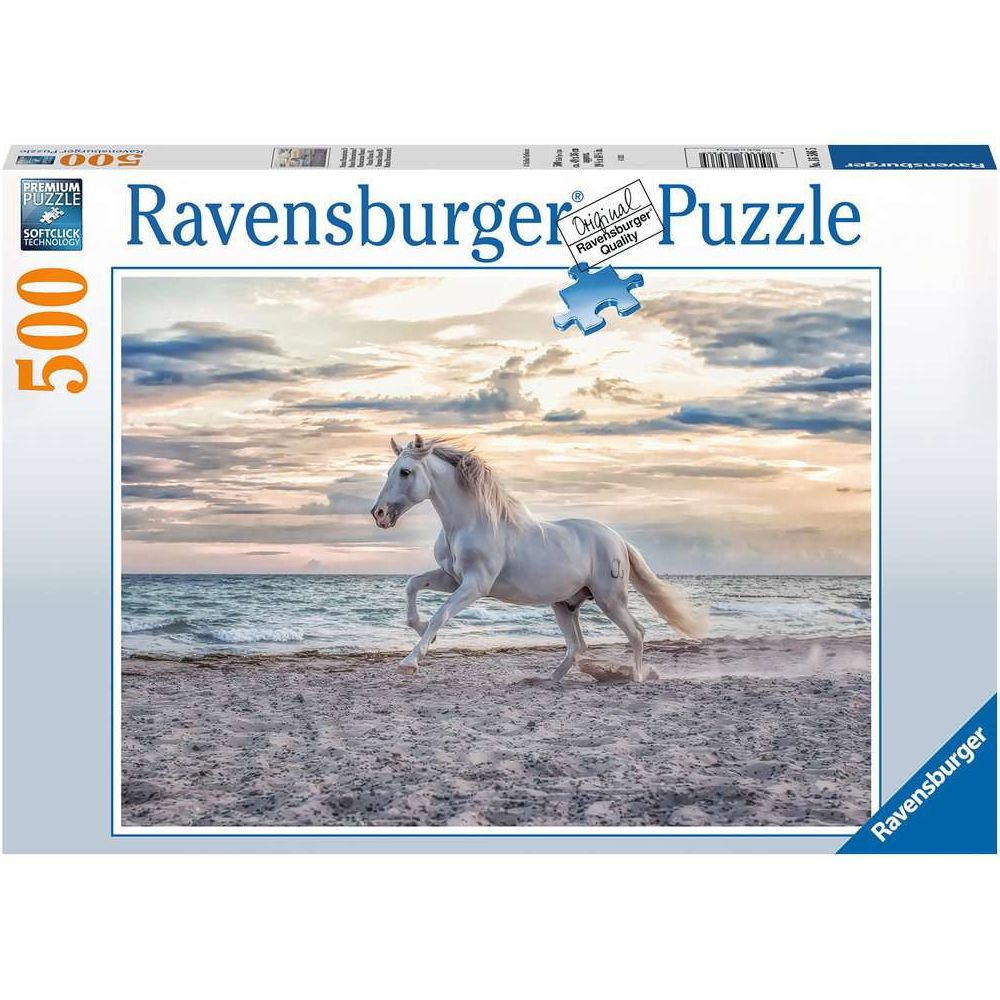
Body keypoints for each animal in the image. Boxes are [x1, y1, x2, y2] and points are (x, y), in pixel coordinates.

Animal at [370, 435, 707, 680]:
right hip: (564, 604)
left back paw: (636, 678)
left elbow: (441, 614)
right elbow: (412, 586)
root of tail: (618, 539)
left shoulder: (475, 585)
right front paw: (422, 632)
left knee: (636, 633)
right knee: (577, 646)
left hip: (609, 599)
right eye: (388, 471)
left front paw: (411, 661)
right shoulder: (452, 579)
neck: (470, 523)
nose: (379, 514)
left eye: (405, 472)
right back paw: (550, 679)